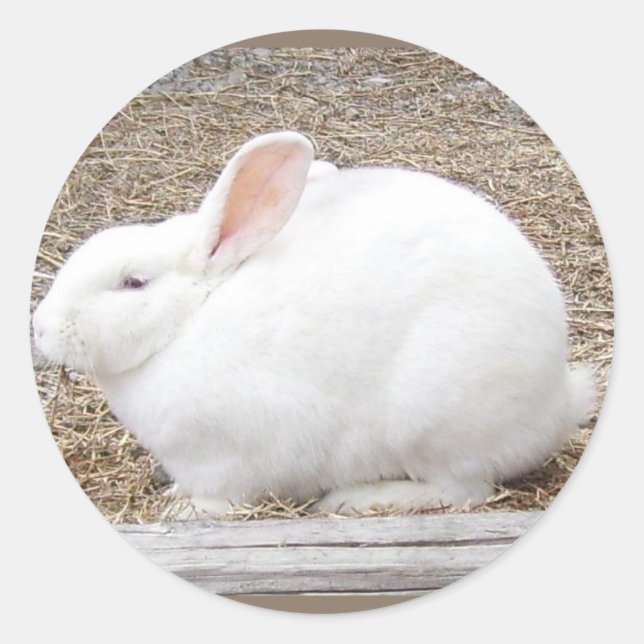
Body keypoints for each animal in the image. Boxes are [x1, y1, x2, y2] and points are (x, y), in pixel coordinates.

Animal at [32, 131, 596, 517]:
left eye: (132, 283)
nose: (41, 327)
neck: (187, 322)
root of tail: (558, 402)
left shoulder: (228, 462)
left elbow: (222, 498)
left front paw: (181, 508)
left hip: (433, 419)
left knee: (463, 490)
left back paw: (358, 499)